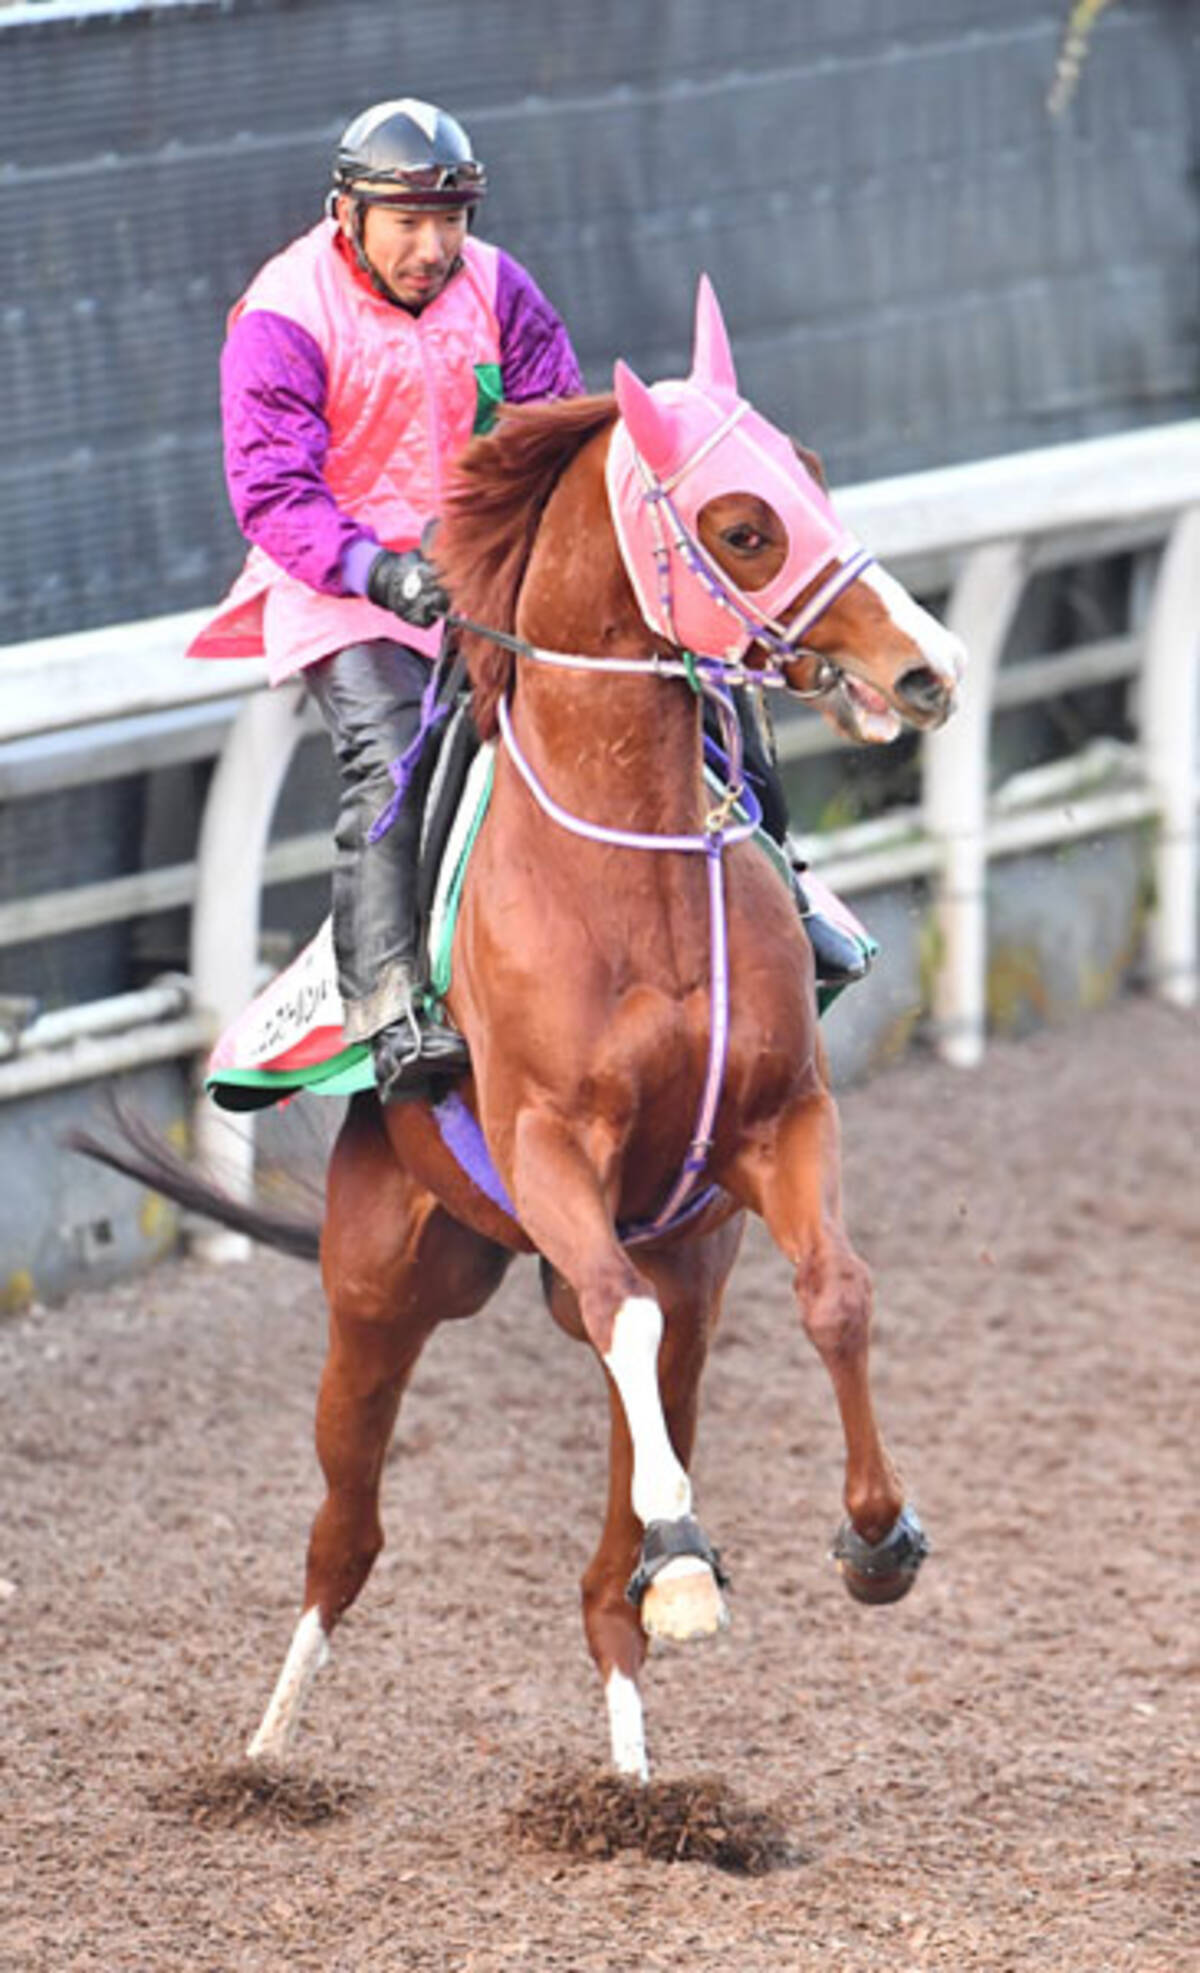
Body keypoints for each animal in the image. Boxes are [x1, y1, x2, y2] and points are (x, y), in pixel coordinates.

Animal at [79, 277, 964, 1784]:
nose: (930, 669)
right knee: (345, 1536)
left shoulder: (780, 1123)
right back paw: (265, 1748)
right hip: (378, 1294)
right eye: (743, 523)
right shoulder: (549, 1146)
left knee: (607, 1563)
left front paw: (876, 1535)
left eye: (814, 473)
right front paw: (698, 1550)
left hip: (685, 1281)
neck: (632, 864)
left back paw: (638, 1764)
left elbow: (837, 1292)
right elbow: (613, 1308)